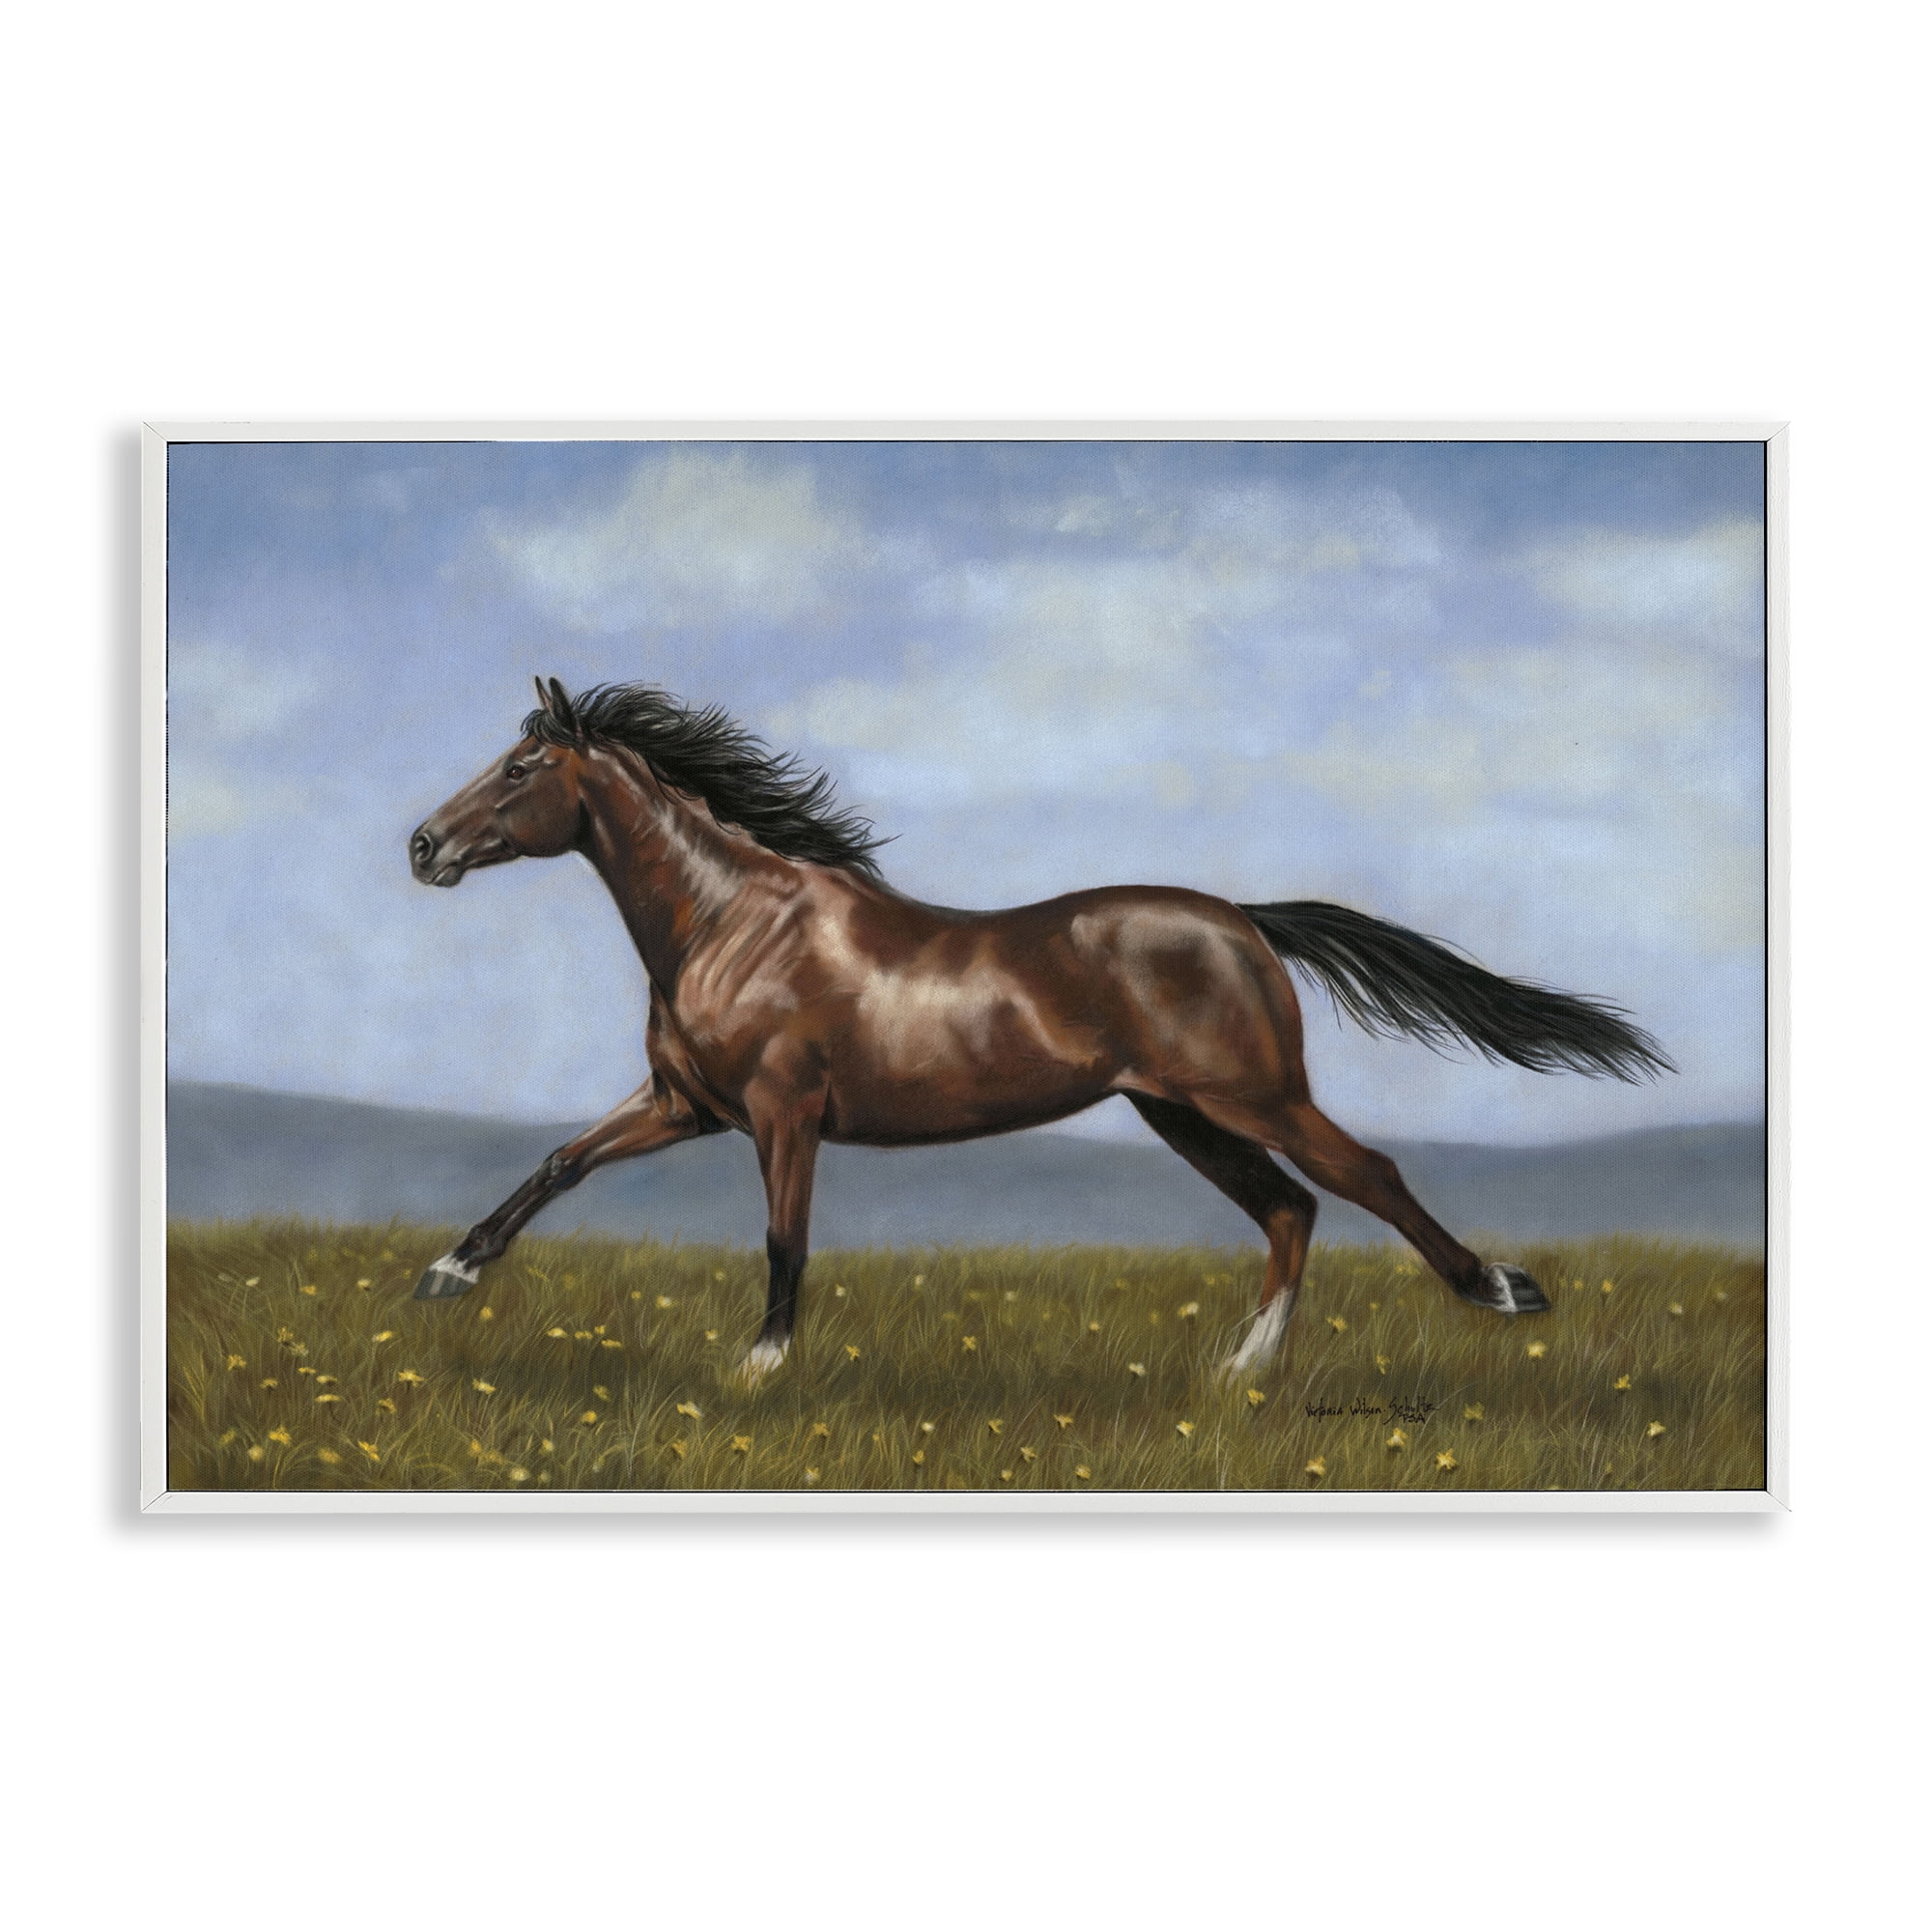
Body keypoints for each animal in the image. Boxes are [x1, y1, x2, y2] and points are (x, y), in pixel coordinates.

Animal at [407, 677, 1670, 1383]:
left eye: (518, 767)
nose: (422, 845)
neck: (732, 923)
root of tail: (1244, 918)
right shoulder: (685, 1104)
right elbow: (558, 1164)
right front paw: (446, 1273)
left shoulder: (780, 1114)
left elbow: (782, 1239)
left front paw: (759, 1366)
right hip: (1178, 1113)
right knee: (1289, 1208)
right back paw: (1236, 1370)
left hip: (1251, 1095)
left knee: (1363, 1176)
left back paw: (1499, 1289)